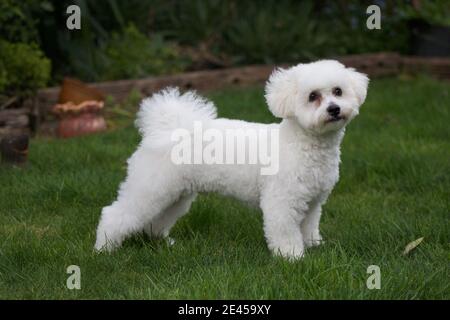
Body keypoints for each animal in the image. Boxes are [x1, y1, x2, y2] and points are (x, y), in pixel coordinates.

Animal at [93, 59, 368, 260]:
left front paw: (314, 246)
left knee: (157, 220)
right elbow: (285, 232)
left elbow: (309, 226)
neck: (301, 144)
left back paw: (162, 241)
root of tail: (167, 129)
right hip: (150, 187)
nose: (334, 109)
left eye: (338, 91)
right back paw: (104, 249)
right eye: (312, 96)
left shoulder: (312, 202)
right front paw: (292, 257)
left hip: (175, 194)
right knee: (114, 214)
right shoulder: (281, 201)